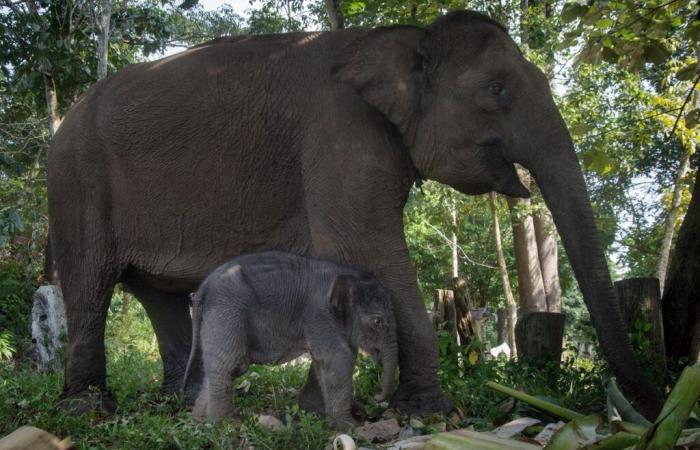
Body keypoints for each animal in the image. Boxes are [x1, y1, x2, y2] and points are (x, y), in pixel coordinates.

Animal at [182, 250, 400, 428]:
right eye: (378, 321)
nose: (376, 397)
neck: (346, 274)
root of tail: (202, 290)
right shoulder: (318, 313)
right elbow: (339, 358)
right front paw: (350, 427)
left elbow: (323, 362)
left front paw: (319, 415)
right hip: (227, 310)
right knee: (231, 364)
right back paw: (224, 426)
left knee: (225, 367)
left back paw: (200, 423)